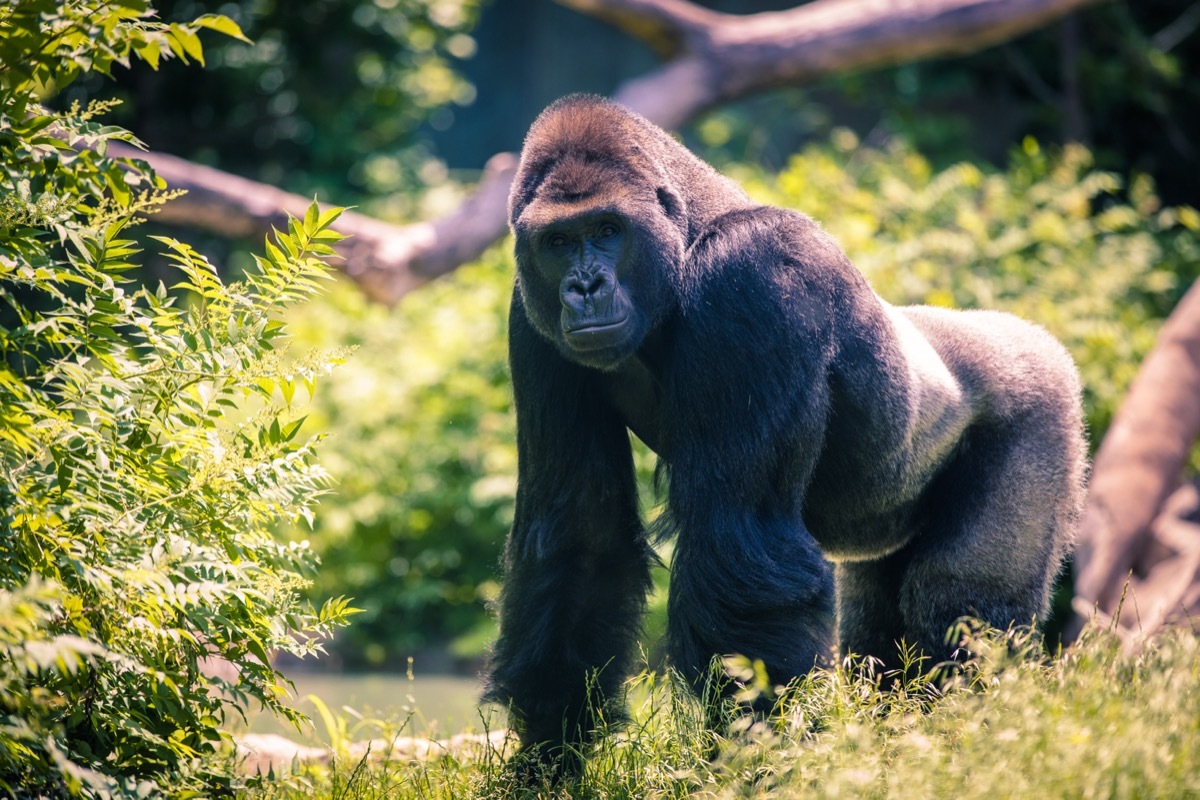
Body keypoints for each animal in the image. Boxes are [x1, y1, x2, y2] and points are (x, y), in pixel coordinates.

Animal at [480, 94, 1089, 767]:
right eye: (558, 241)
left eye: (608, 231)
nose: (584, 287)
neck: (687, 239)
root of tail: (1034, 337)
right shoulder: (530, 317)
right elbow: (581, 533)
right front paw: (550, 748)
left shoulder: (755, 271)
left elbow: (740, 541)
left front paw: (757, 755)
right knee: (881, 622)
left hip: (1043, 405)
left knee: (961, 602)